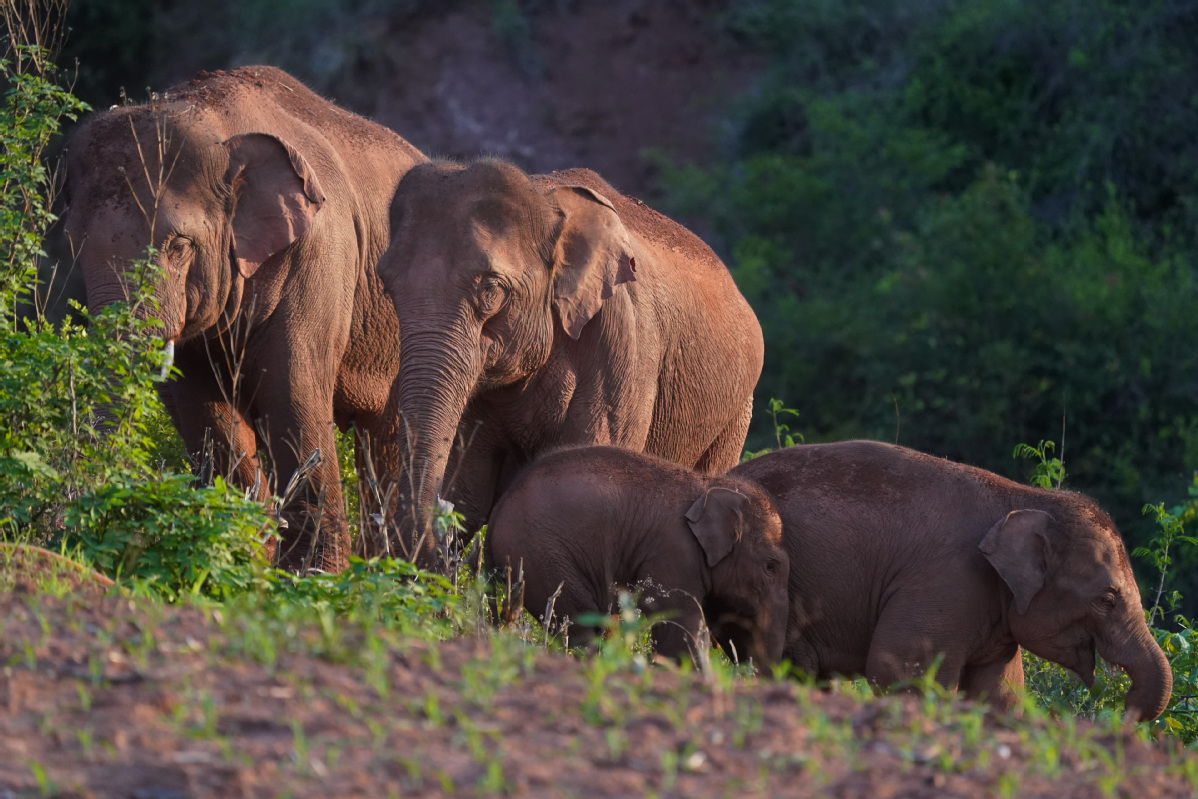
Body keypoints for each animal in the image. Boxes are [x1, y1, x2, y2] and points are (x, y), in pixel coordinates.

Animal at [61, 65, 426, 572]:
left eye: (179, 245)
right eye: (74, 243)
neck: (215, 120)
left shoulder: (317, 260)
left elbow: (293, 395)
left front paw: (313, 575)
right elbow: (205, 411)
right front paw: (246, 554)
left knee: (390, 437)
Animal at [378, 159, 761, 565]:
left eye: (491, 289)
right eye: (386, 284)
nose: (436, 533)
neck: (546, 201)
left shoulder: (619, 343)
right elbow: (470, 492)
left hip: (735, 415)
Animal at [481, 448, 790, 666]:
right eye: (771, 566)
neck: (711, 486)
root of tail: (496, 513)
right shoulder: (673, 551)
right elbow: (679, 615)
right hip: (541, 556)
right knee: (580, 624)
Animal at [723, 440, 1174, 723]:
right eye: (1107, 600)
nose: (1120, 711)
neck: (1023, 498)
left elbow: (999, 695)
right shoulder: (948, 581)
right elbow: (899, 673)